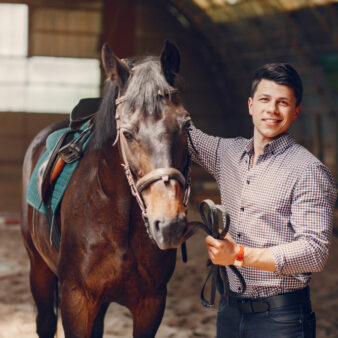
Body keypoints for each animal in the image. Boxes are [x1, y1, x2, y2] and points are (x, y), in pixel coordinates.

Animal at [20, 41, 193, 336]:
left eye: (186, 125)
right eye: (127, 133)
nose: (170, 224)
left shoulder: (151, 303)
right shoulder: (76, 299)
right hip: (39, 270)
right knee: (44, 321)